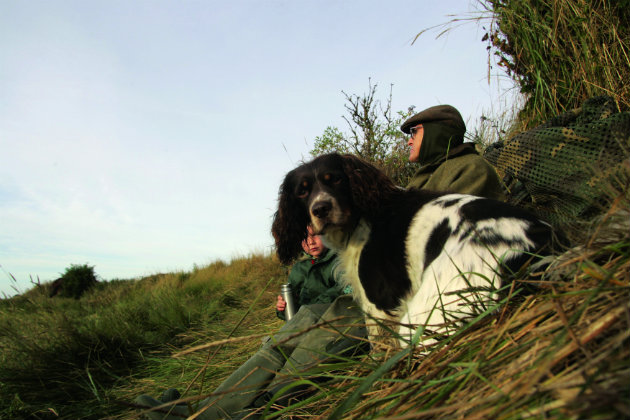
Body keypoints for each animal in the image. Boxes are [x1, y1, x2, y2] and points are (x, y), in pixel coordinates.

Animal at [272, 153, 552, 346]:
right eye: (301, 192)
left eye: (337, 179)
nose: (320, 209)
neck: (360, 218)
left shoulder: (380, 301)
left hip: (429, 312)